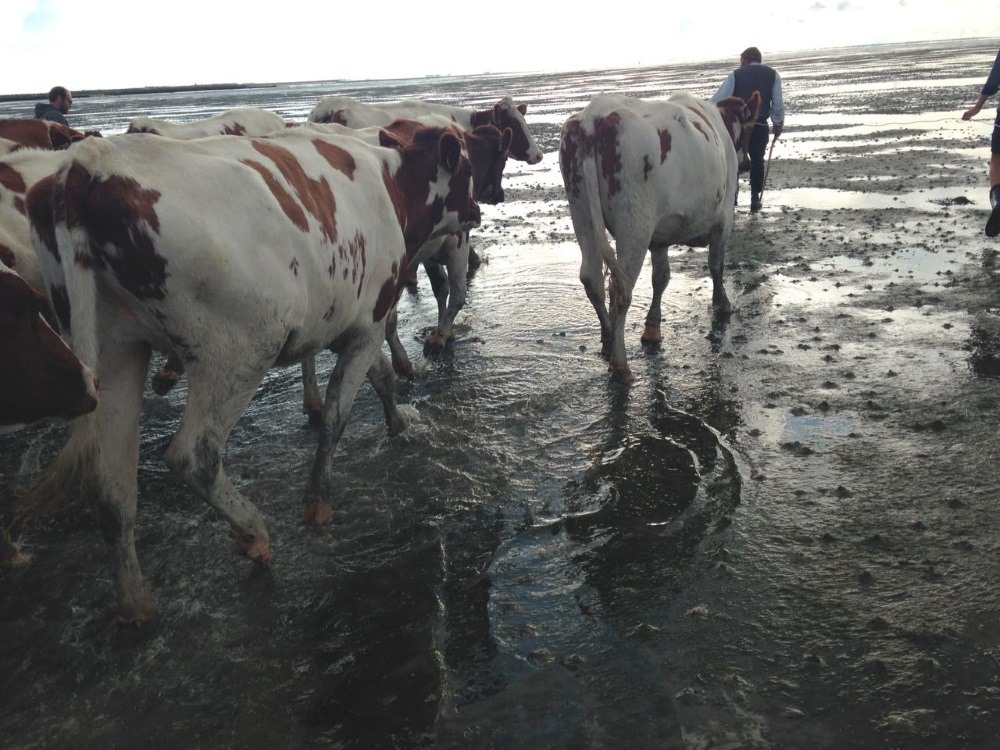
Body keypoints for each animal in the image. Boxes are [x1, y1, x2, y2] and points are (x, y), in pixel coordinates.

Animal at [22, 122, 476, 624]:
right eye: (467, 170)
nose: (477, 209)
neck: (393, 184)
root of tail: (87, 165)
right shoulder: (368, 323)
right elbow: (336, 415)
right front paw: (318, 502)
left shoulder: (351, 324)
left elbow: (381, 379)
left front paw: (398, 424)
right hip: (237, 353)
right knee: (193, 455)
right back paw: (253, 531)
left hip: (117, 353)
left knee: (112, 484)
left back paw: (135, 603)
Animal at [560, 92, 760, 382]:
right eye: (749, 129)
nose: (746, 163)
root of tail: (594, 113)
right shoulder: (724, 220)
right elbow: (716, 265)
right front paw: (722, 303)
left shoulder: (659, 237)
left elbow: (661, 278)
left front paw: (652, 327)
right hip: (634, 223)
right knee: (621, 289)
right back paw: (620, 364)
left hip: (581, 211)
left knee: (592, 279)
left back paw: (608, 339)